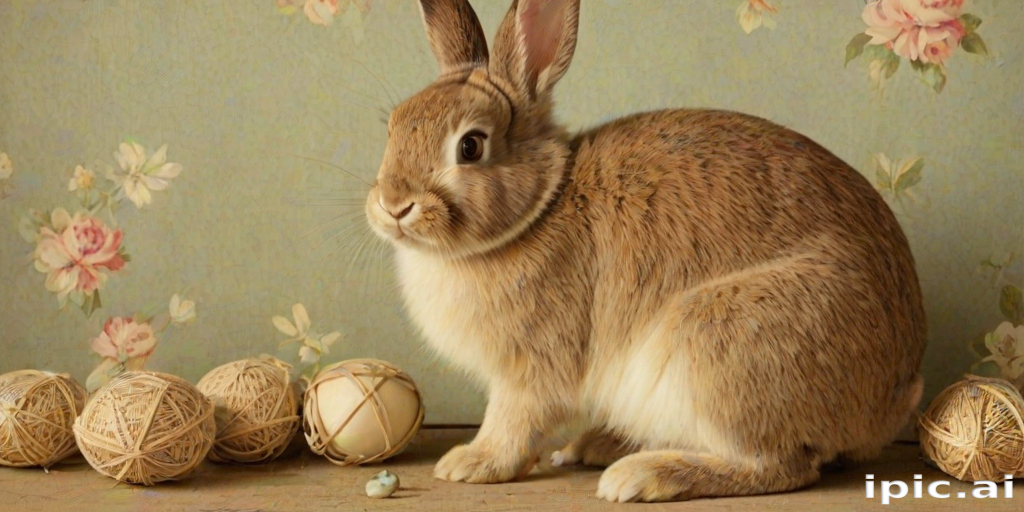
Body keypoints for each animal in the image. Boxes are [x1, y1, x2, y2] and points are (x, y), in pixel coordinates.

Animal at [364, 0, 927, 503]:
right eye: (393, 126)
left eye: (471, 146)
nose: (393, 205)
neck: (539, 209)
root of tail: (893, 401)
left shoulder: (532, 370)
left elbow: (514, 422)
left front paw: (470, 463)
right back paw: (597, 447)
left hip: (720, 347)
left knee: (780, 466)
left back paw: (641, 477)